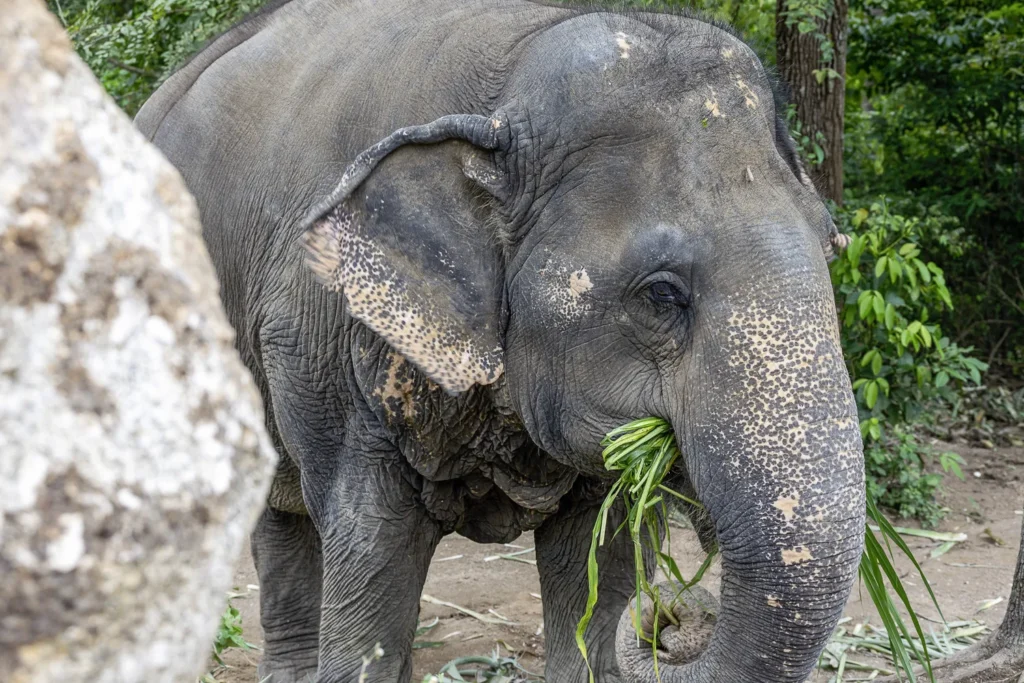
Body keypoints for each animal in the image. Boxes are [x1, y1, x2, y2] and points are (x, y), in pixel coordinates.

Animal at [135, 0, 866, 681]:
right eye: (662, 294)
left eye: (833, 249)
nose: (666, 615)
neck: (513, 69)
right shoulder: (324, 333)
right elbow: (371, 549)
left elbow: (596, 565)